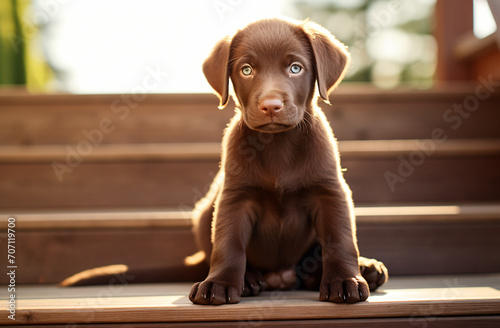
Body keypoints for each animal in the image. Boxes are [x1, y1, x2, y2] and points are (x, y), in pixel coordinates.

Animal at [189, 17, 388, 304]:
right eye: (246, 70)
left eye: (296, 68)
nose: (271, 106)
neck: (277, 144)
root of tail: (282, 277)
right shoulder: (235, 197)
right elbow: (228, 243)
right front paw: (219, 283)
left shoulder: (330, 192)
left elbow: (340, 240)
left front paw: (344, 280)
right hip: (205, 212)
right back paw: (249, 280)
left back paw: (365, 269)